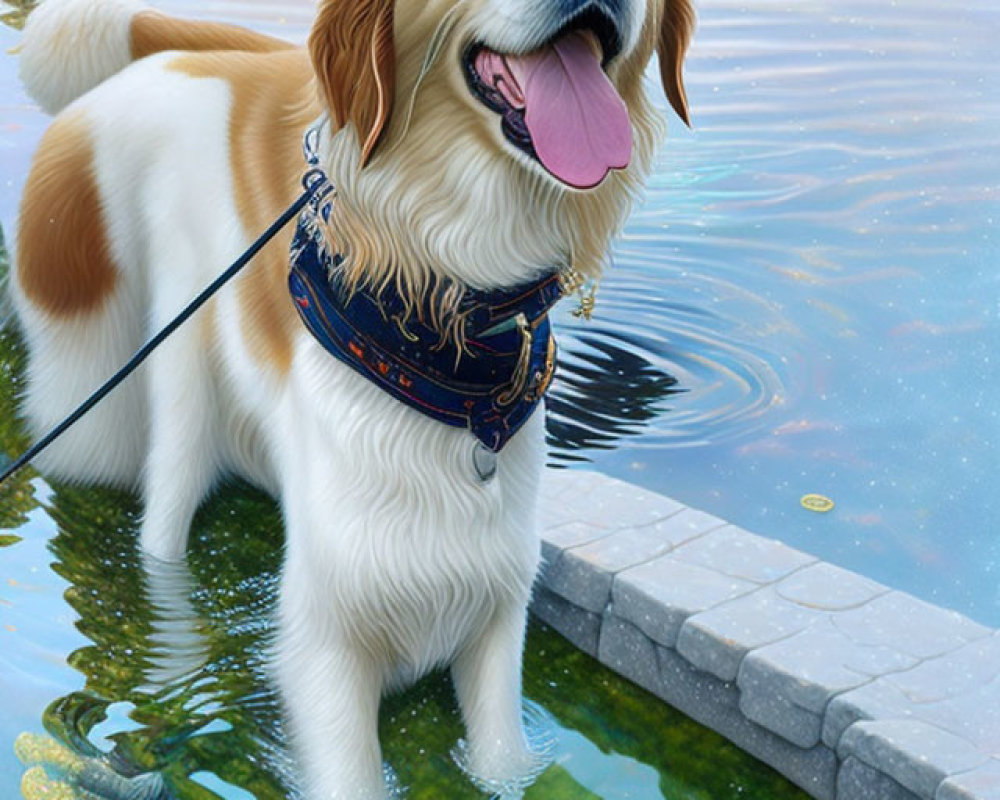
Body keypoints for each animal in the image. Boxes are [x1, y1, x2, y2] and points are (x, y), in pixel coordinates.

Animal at [11, 1, 692, 792]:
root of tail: (171, 58)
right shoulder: (325, 654)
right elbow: (352, 772)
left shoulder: (494, 626)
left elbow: (501, 762)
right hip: (162, 374)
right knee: (161, 527)